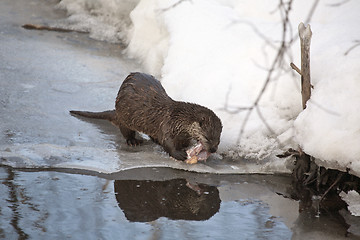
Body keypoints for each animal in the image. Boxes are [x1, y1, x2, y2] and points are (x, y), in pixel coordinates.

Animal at [70, 71, 222, 161]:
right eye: (207, 137)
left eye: (218, 138)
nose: (213, 149)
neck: (178, 119)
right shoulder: (167, 125)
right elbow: (167, 142)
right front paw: (179, 154)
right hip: (125, 117)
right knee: (126, 131)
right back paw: (133, 141)